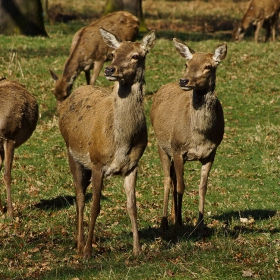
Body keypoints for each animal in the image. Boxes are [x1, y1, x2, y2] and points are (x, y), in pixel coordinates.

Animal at [53, 26, 156, 258]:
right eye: (113, 53)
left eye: (136, 56)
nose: (110, 69)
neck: (121, 143)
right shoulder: (98, 162)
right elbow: (96, 206)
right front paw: (88, 251)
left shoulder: (133, 165)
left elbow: (132, 205)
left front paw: (137, 249)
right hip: (73, 154)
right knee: (80, 197)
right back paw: (79, 244)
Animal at [150, 40, 226, 232]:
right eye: (187, 64)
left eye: (208, 66)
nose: (184, 80)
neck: (199, 136)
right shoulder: (178, 149)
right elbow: (181, 187)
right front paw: (178, 223)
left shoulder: (211, 153)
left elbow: (202, 187)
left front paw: (200, 223)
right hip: (161, 145)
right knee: (168, 179)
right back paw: (165, 221)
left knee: (173, 176)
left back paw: (172, 216)